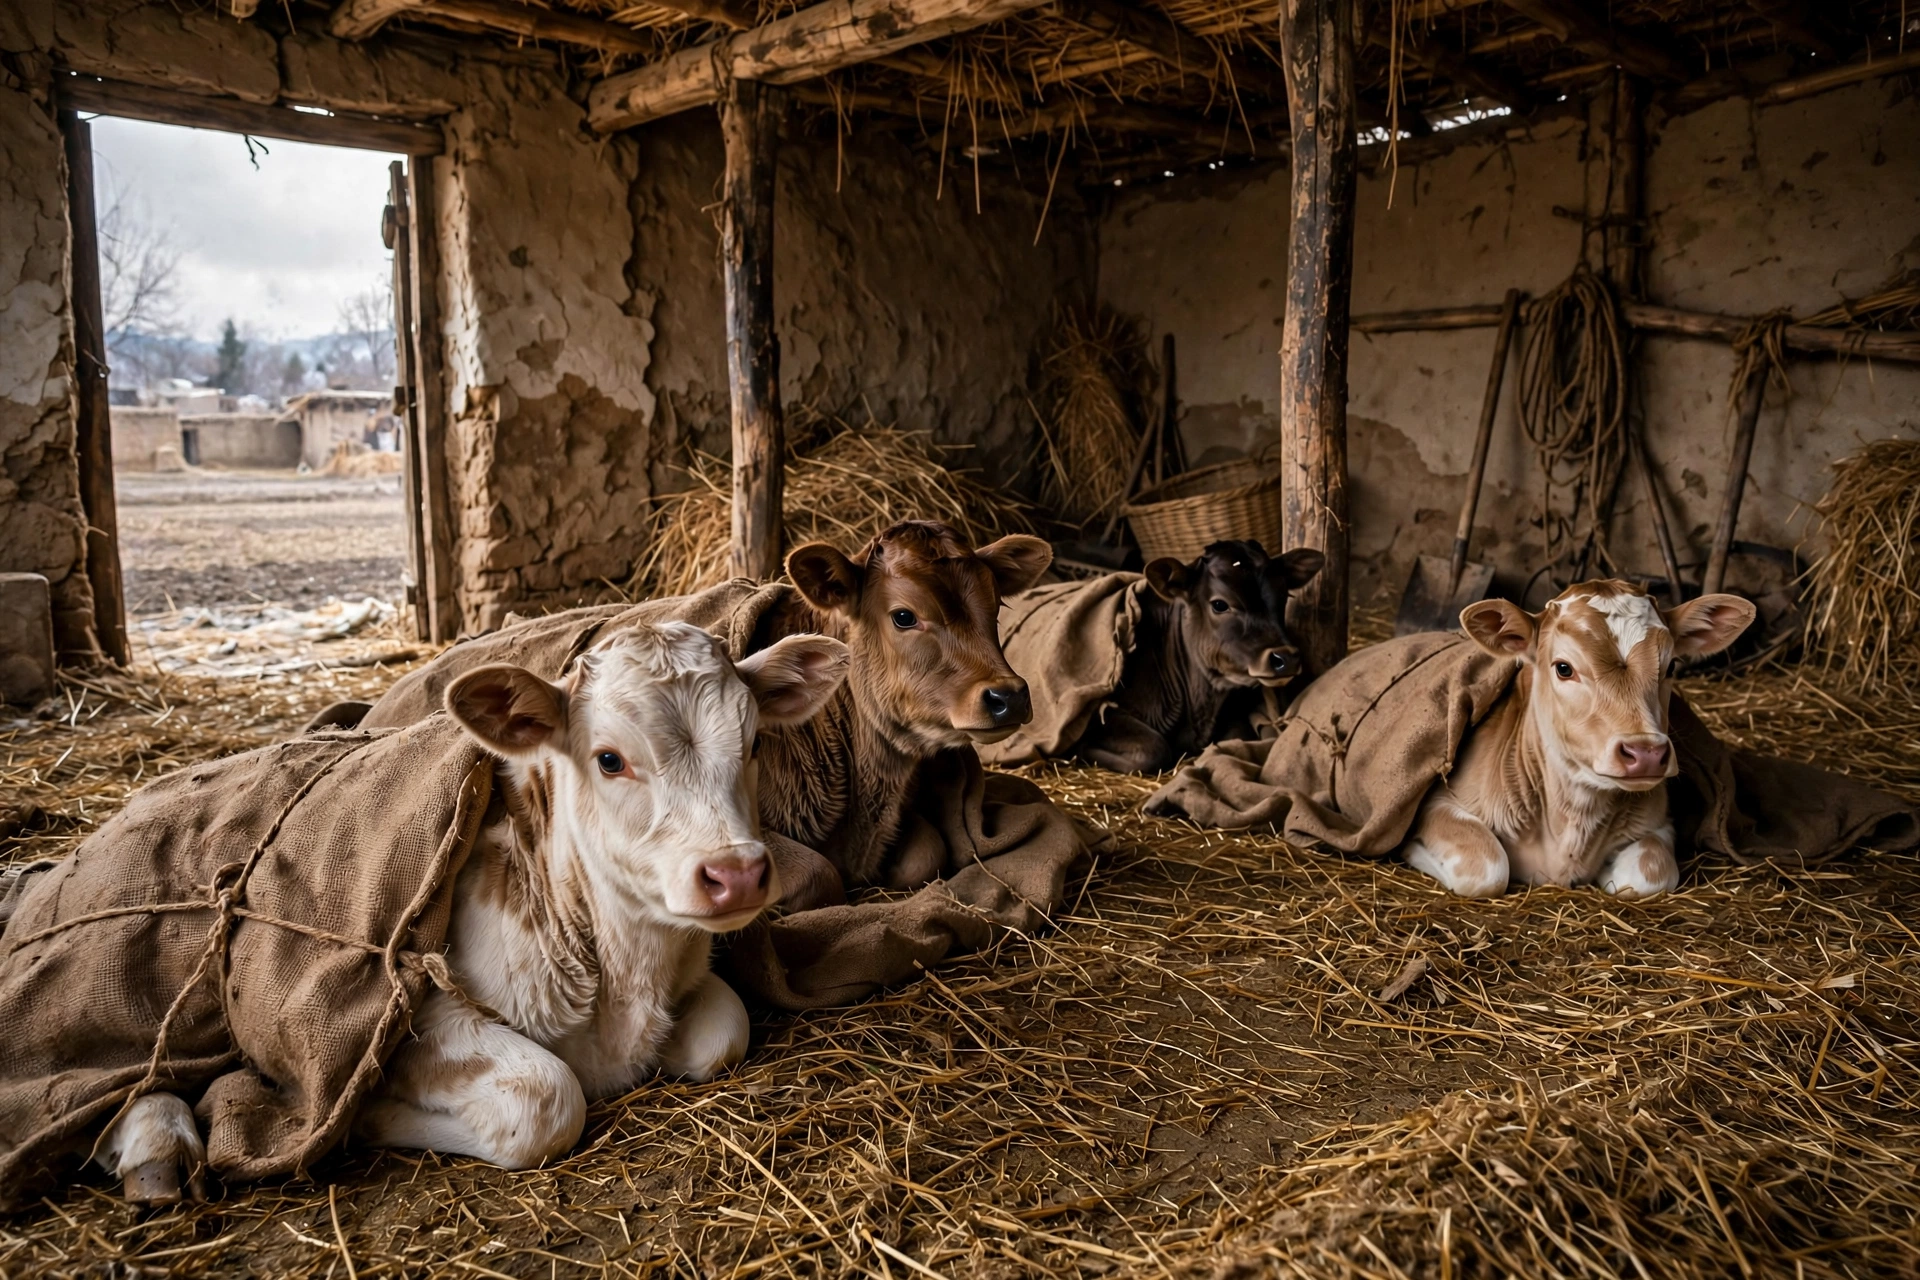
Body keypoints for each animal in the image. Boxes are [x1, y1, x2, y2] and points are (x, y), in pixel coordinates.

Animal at [98, 622, 849, 1200]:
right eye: (609, 759)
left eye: (754, 744)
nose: (736, 873)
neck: (621, 982)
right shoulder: (412, 1018)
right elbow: (546, 1098)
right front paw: (361, 1123)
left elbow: (724, 1032)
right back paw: (156, 1141)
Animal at [1403, 581, 1755, 899]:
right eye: (1563, 668)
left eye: (1670, 666)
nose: (1646, 753)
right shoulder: (1438, 802)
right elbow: (1486, 870)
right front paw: (1410, 850)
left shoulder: (1660, 821)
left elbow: (1647, 875)